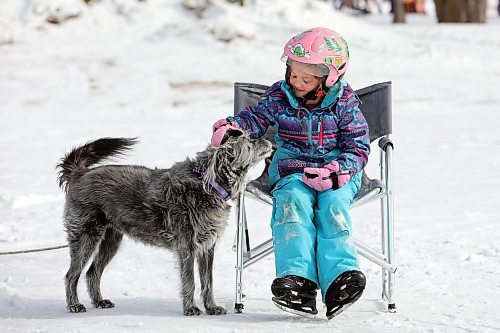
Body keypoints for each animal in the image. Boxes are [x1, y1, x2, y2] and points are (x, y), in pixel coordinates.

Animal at [57, 133, 274, 314]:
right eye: (249, 142)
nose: (269, 141)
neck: (208, 184)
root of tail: (80, 173)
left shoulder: (207, 247)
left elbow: (208, 281)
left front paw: (211, 307)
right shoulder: (187, 247)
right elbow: (190, 280)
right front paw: (191, 309)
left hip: (111, 241)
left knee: (92, 272)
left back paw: (99, 301)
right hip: (86, 236)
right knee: (71, 275)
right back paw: (74, 304)